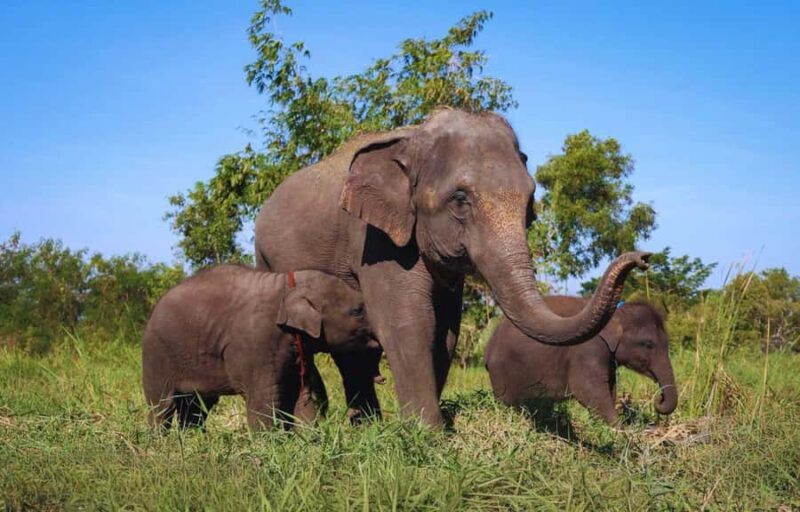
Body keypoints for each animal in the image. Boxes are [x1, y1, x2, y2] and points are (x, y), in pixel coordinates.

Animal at [141, 265, 375, 430]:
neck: (286, 286)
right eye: (357, 311)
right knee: (161, 407)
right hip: (156, 356)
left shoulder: (296, 348)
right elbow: (265, 401)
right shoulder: (256, 345)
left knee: (196, 408)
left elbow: (303, 394)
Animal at [254, 108, 650, 427]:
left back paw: (363, 425)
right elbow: (408, 322)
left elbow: (445, 329)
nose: (642, 258)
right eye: (460, 200)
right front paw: (428, 436)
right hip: (267, 258)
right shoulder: (375, 239)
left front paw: (433, 427)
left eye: (530, 201)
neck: (413, 139)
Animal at [485, 296, 678, 425]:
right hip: (502, 372)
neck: (616, 313)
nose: (658, 399)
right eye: (648, 344)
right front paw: (621, 431)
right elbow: (587, 389)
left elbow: (610, 388)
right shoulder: (588, 348)